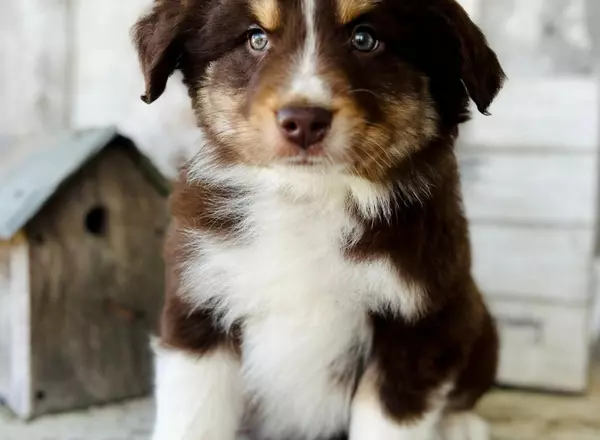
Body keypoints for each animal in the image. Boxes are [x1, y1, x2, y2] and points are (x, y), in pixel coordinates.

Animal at [132, 0, 506, 438]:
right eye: (256, 38)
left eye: (364, 38)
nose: (304, 121)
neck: (310, 198)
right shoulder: (198, 305)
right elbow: (193, 419)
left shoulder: (421, 324)